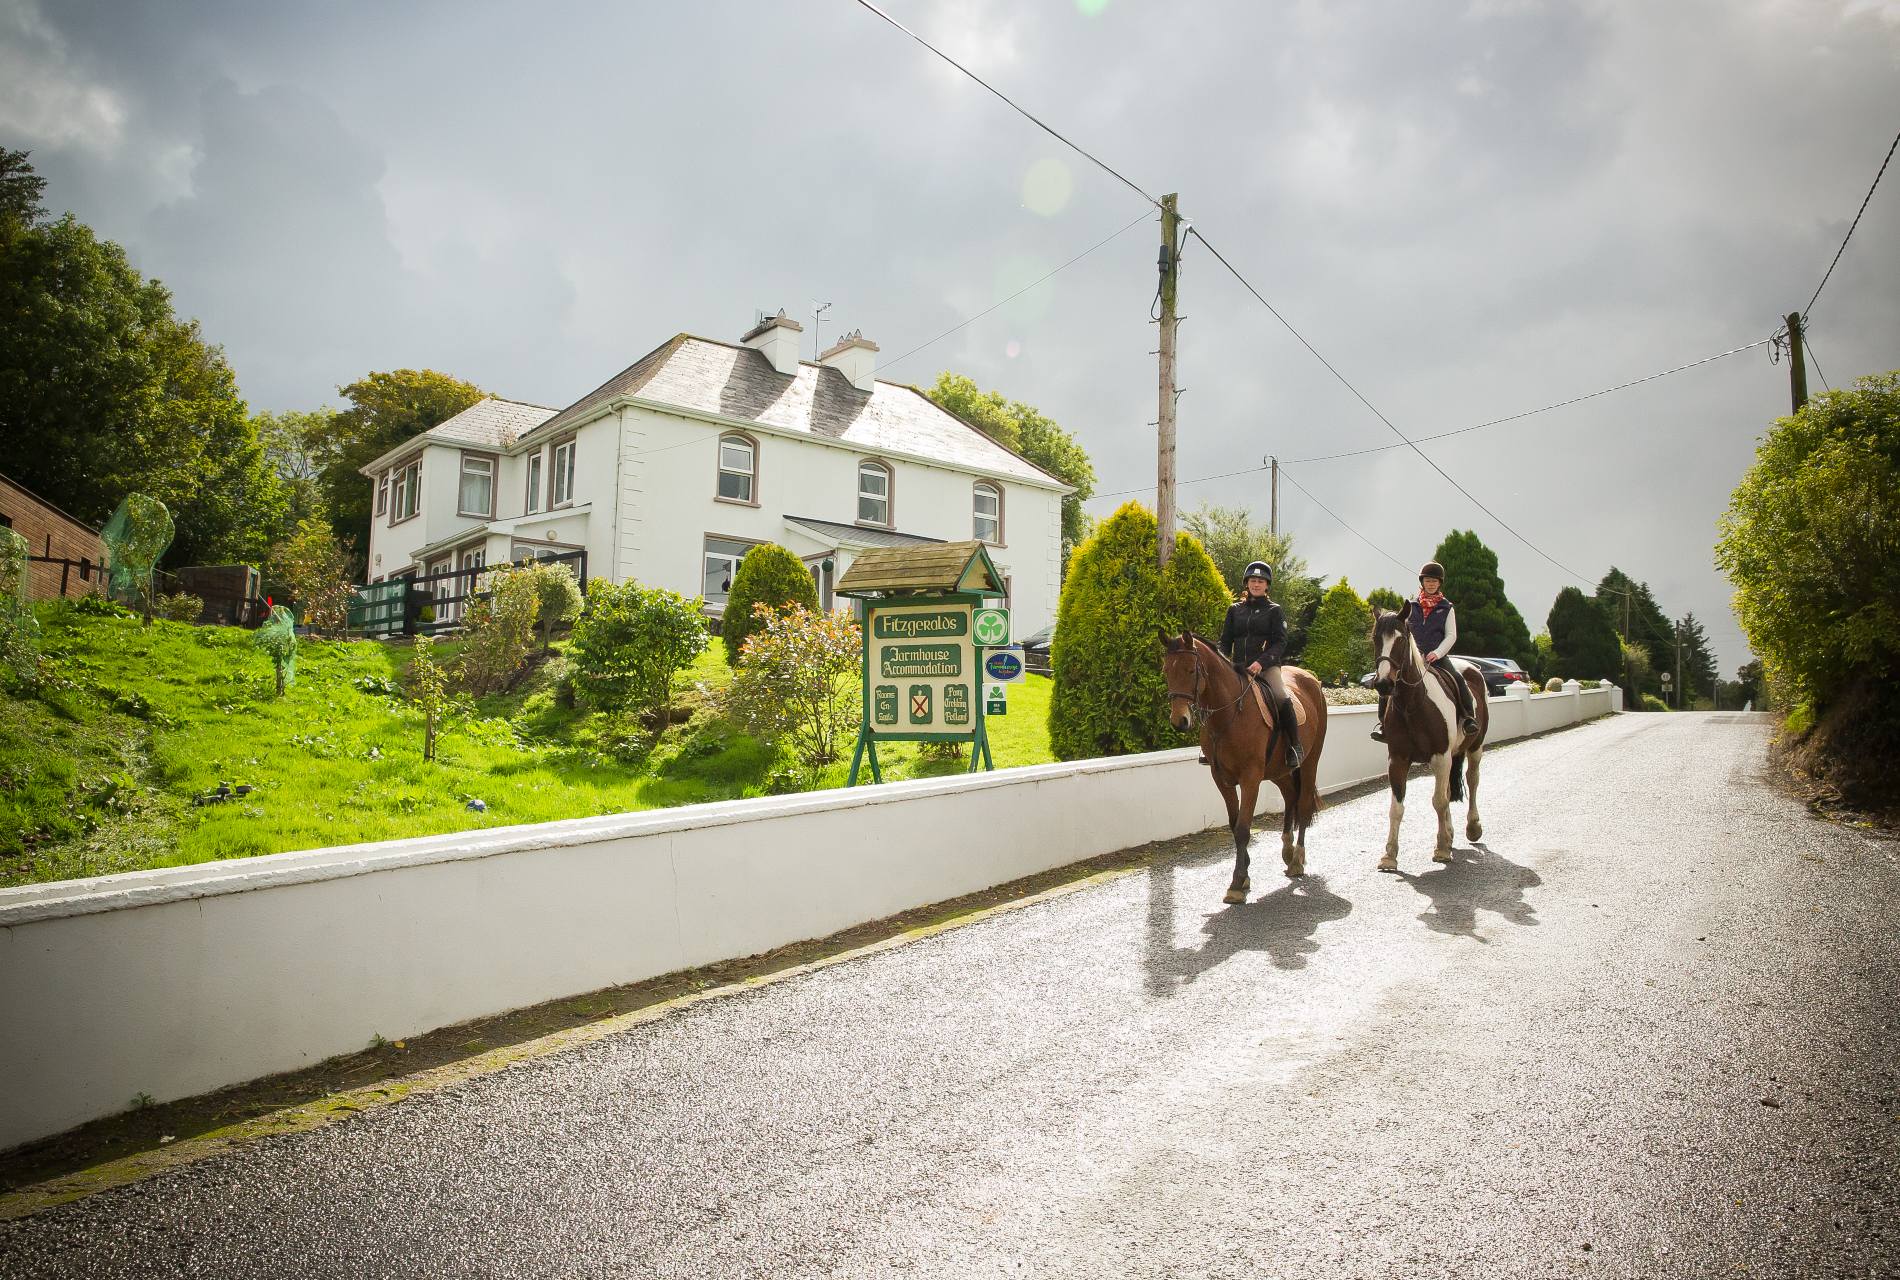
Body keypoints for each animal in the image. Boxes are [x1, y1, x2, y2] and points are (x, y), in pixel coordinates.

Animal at [1147, 626, 1330, 896]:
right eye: (1166, 670)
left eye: (1191, 670)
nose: (1179, 721)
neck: (1229, 714)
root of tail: (1311, 679)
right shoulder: (1221, 779)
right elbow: (1234, 825)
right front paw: (1244, 872)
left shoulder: (1250, 778)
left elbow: (1244, 828)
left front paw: (1237, 882)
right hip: (1278, 770)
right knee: (1289, 797)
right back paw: (1287, 851)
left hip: (1310, 762)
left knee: (1304, 804)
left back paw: (1297, 859)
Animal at [1375, 603, 1489, 865]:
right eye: (1375, 638)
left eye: (1401, 639)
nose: (1383, 684)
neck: (1412, 704)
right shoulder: (1398, 759)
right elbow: (1396, 807)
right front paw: (1389, 855)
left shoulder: (1440, 756)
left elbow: (1438, 801)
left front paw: (1443, 849)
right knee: (1447, 790)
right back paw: (1449, 833)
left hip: (1475, 747)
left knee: (1472, 780)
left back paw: (1472, 827)